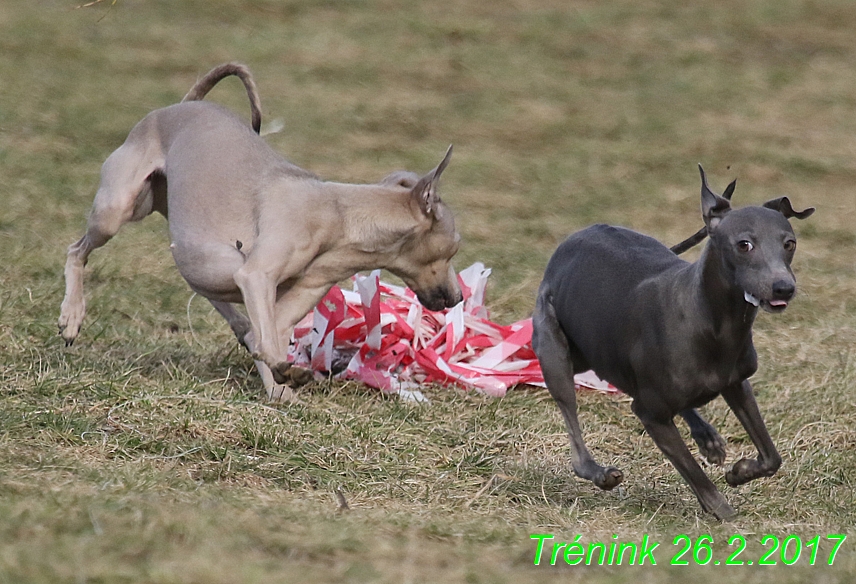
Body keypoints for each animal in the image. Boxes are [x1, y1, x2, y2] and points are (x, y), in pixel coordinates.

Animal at [59, 64, 462, 402]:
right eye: (454, 248)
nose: (458, 297)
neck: (340, 215)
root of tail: (182, 106)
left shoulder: (303, 287)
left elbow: (266, 335)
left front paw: (280, 389)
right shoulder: (257, 276)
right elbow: (266, 342)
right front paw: (286, 375)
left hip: (196, 255)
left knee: (216, 298)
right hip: (117, 209)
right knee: (76, 250)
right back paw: (71, 316)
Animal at [532, 168, 812, 520]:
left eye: (789, 243)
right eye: (744, 244)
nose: (783, 288)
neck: (713, 322)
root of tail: (576, 236)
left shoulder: (737, 384)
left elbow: (772, 457)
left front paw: (740, 471)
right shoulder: (650, 414)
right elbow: (697, 477)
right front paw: (727, 515)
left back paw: (707, 437)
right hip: (556, 353)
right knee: (576, 443)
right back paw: (599, 473)